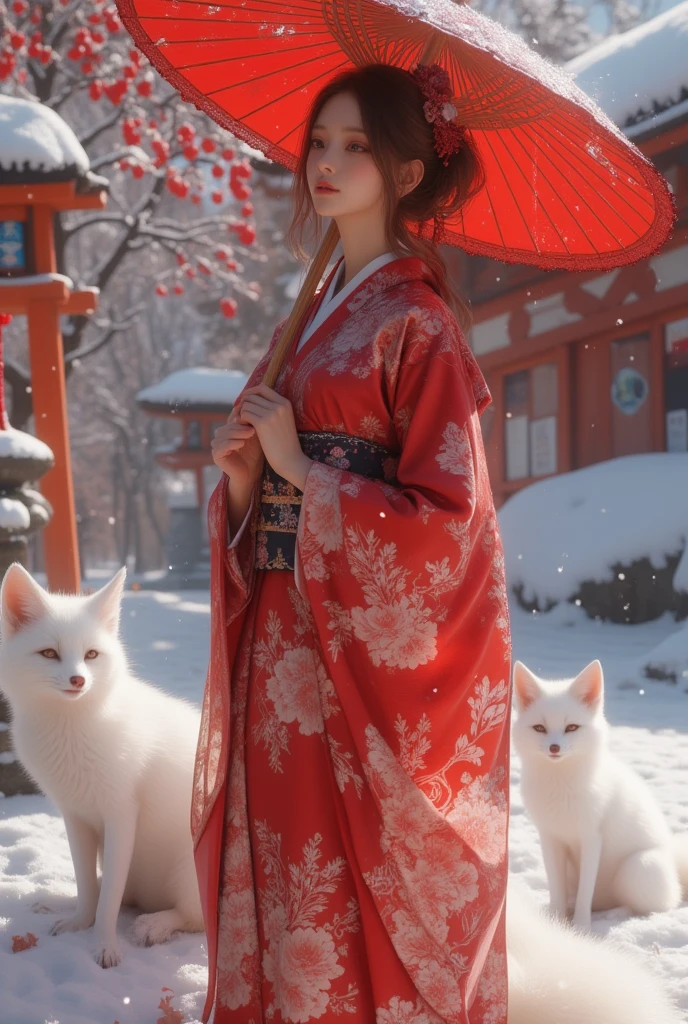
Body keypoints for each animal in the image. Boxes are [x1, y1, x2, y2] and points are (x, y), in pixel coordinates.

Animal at [0, 565, 204, 970]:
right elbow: (88, 885)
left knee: (193, 917)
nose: (78, 679)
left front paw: (104, 947)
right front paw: (79, 922)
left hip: (188, 871)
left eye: (91, 654)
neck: (70, 730)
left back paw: (155, 925)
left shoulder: (121, 813)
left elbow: (108, 897)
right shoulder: (74, 816)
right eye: (49, 653)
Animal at [509, 659, 688, 933]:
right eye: (540, 728)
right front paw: (556, 924)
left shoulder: (592, 837)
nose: (554, 748)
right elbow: (556, 890)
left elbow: (586, 893)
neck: (560, 789)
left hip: (637, 870)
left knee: (655, 903)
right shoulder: (550, 838)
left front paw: (581, 929)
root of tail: (673, 861)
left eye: (571, 727)